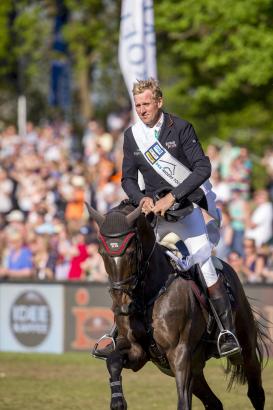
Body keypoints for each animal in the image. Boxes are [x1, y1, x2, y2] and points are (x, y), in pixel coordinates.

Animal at [86, 200, 268, 408]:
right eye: (101, 253)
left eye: (131, 253)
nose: (121, 307)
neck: (149, 294)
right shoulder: (137, 351)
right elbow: (113, 360)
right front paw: (118, 402)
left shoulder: (179, 354)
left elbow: (183, 401)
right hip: (195, 368)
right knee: (214, 402)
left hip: (244, 349)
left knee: (255, 391)